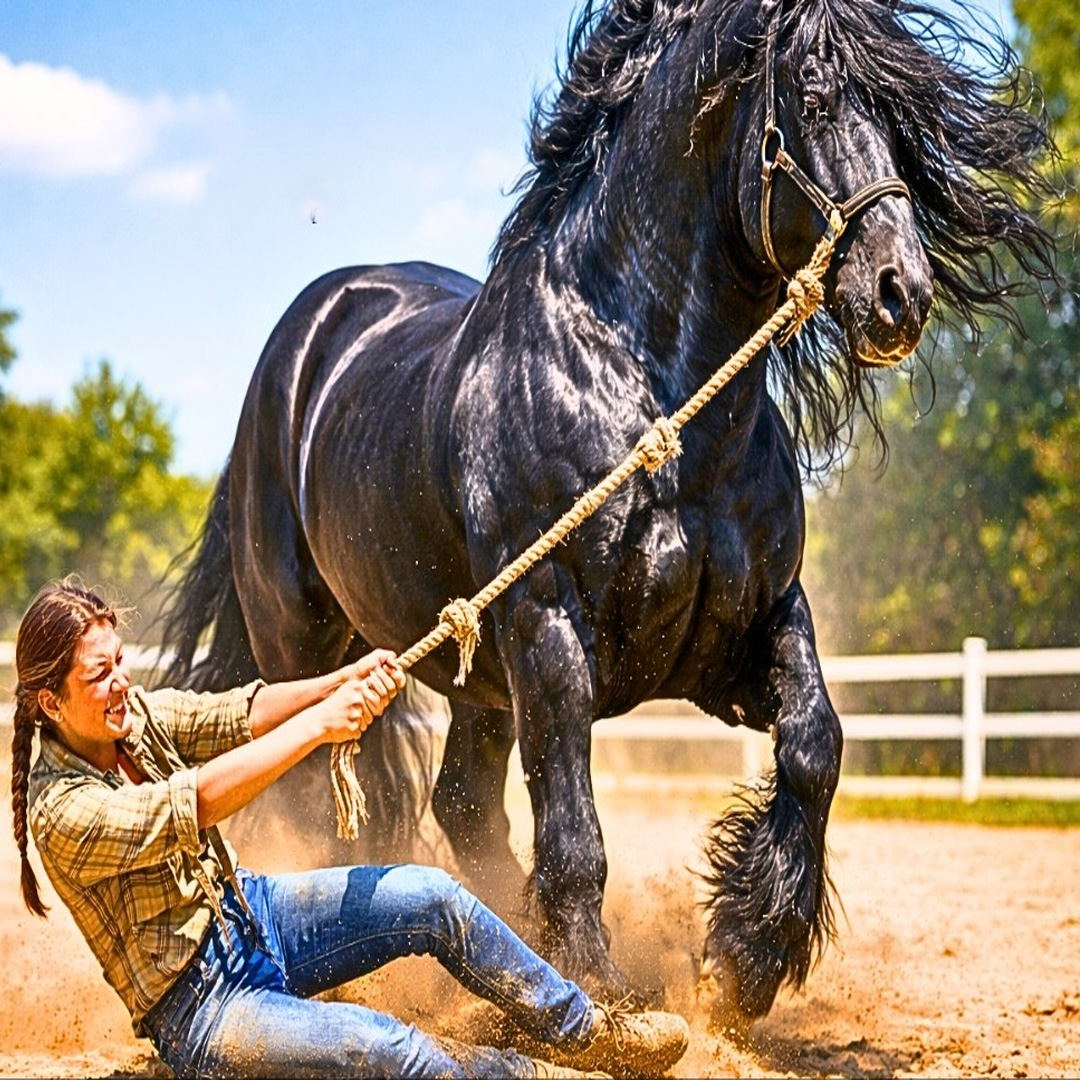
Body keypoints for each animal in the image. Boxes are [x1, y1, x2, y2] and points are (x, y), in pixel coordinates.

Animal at [161, 0, 1056, 1022]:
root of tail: (308, 333)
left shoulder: (751, 628)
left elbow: (814, 744)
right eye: (818, 94)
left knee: (462, 804)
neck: (647, 391)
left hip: (476, 679)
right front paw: (605, 989)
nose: (900, 293)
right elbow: (575, 828)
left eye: (903, 114)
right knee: (317, 802)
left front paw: (748, 954)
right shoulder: (548, 628)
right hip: (304, 643)